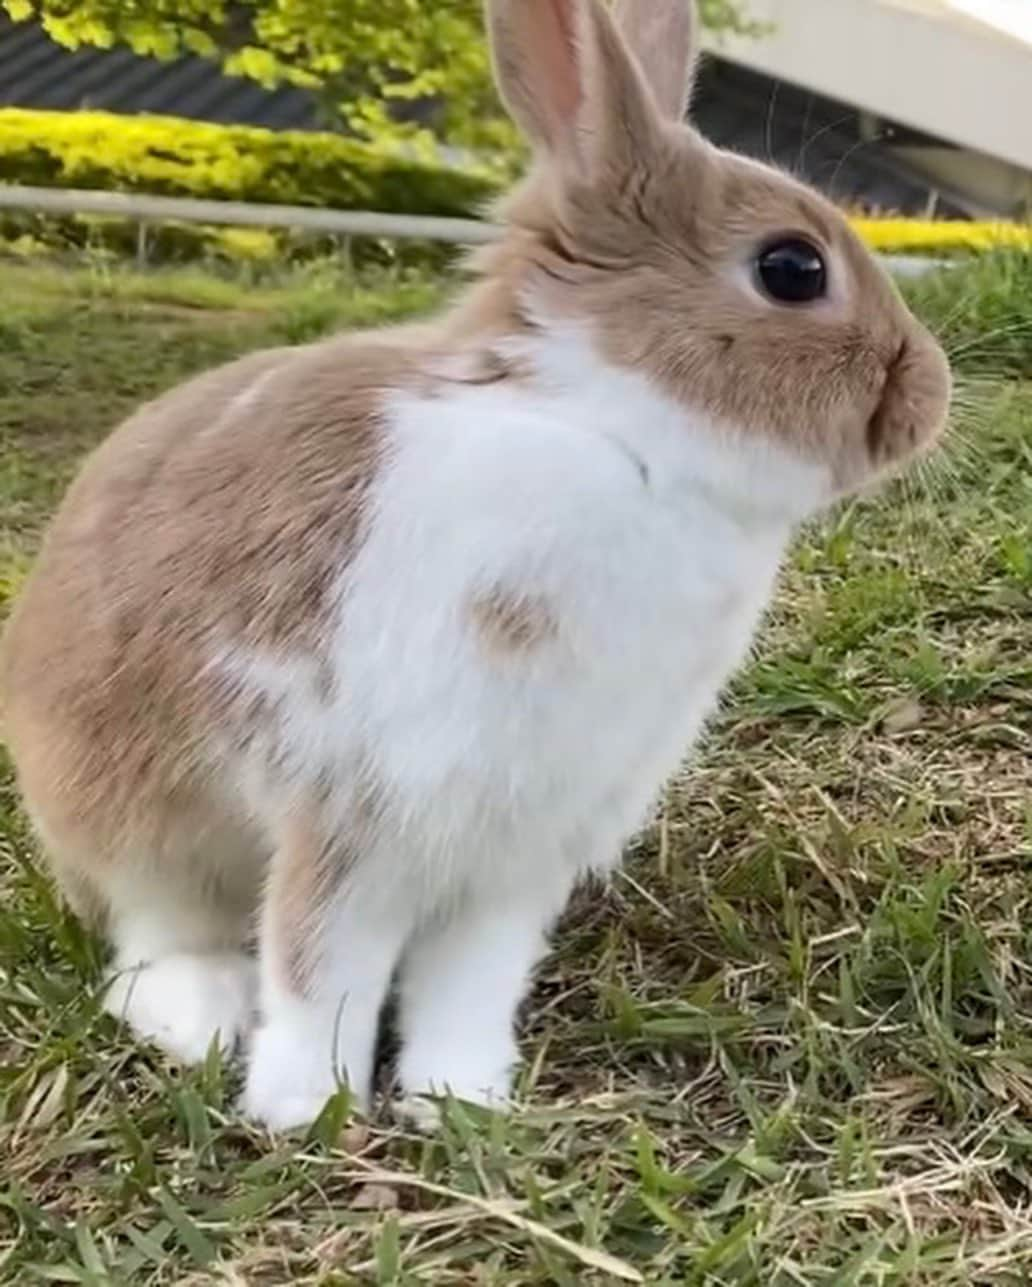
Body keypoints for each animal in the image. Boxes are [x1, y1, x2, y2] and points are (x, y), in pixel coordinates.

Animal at [0, 0, 947, 1127]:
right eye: (792, 268)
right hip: (132, 820)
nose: (932, 395)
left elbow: (471, 978)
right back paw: (207, 1013)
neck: (613, 432)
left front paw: (461, 1097)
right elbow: (322, 967)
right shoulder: (363, 809)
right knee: (152, 940)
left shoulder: (522, 843)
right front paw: (303, 1108)